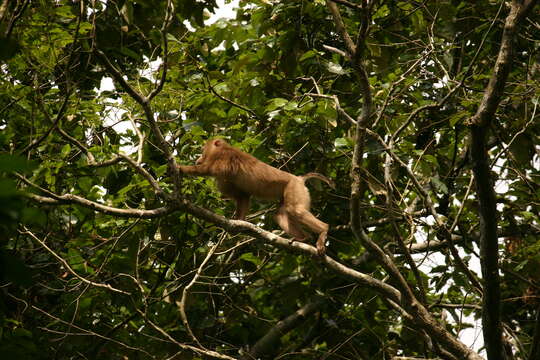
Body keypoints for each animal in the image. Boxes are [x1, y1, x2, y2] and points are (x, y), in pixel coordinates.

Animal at [177, 139, 334, 256]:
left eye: (203, 152)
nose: (198, 159)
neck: (224, 149)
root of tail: (299, 178)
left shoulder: (223, 158)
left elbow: (206, 170)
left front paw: (180, 168)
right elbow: (242, 196)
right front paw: (238, 223)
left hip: (294, 188)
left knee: (295, 210)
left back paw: (323, 230)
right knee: (280, 214)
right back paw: (304, 238)